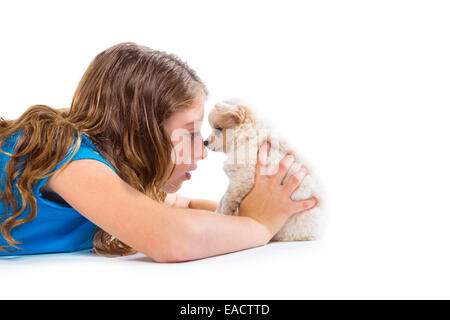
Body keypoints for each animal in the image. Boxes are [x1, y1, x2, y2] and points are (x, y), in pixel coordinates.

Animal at [205, 99, 326, 241]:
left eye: (218, 129)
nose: (204, 142)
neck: (247, 135)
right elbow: (223, 198)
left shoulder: (242, 178)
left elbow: (227, 199)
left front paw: (223, 215)